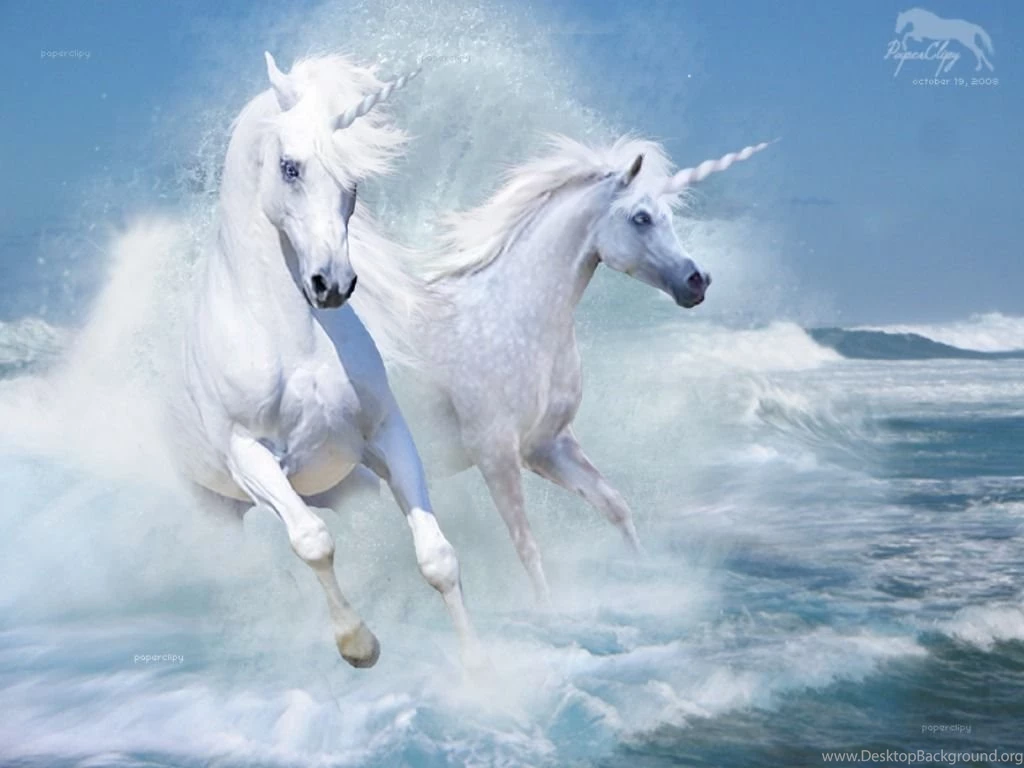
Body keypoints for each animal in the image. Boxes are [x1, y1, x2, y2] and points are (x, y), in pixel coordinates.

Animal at [171, 53, 478, 668]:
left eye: (353, 179)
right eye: (290, 167)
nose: (331, 284)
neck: (295, 339)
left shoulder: (385, 434)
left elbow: (437, 557)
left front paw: (483, 671)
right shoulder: (250, 454)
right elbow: (311, 541)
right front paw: (358, 645)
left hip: (346, 487)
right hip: (218, 510)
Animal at [376, 136, 770, 602]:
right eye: (641, 218)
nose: (698, 281)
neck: (516, 317)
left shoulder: (546, 445)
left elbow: (615, 506)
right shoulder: (495, 453)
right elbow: (527, 546)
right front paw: (549, 611)